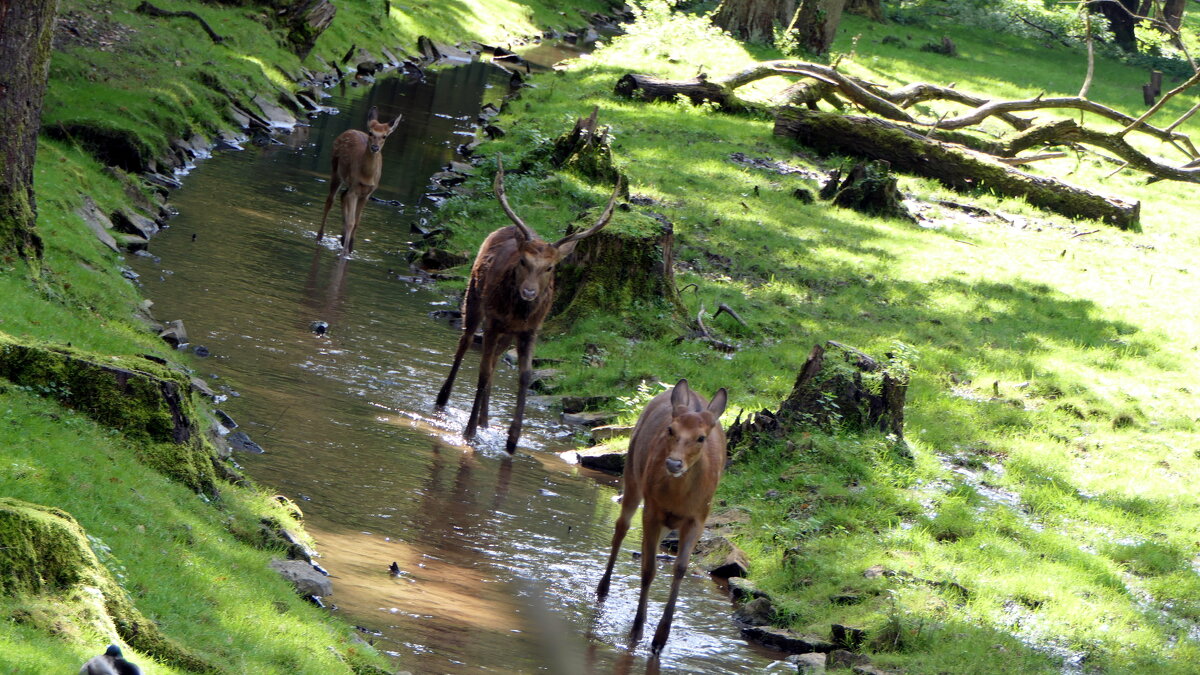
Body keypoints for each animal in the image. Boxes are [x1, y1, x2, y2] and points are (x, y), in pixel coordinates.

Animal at [316, 106, 400, 253]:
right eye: (370, 132)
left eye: (384, 136)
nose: (375, 147)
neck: (367, 176)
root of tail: (349, 130)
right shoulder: (355, 190)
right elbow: (351, 222)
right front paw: (344, 253)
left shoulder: (367, 194)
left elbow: (357, 222)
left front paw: (350, 248)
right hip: (336, 170)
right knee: (330, 200)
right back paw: (320, 237)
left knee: (343, 195)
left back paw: (343, 238)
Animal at [436, 156, 624, 451]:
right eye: (523, 261)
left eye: (550, 267)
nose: (529, 292)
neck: (518, 314)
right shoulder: (494, 321)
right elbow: (482, 371)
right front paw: (468, 432)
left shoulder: (531, 330)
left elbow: (524, 375)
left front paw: (512, 439)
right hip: (475, 299)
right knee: (465, 344)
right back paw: (444, 401)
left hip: (507, 332)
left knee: (494, 359)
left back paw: (486, 422)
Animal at [595, 374, 724, 648]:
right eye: (671, 430)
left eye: (701, 437)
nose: (674, 463)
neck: (678, 499)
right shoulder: (652, 510)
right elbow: (648, 569)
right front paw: (637, 631)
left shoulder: (699, 517)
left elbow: (680, 569)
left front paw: (661, 638)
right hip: (632, 473)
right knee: (621, 529)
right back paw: (603, 588)